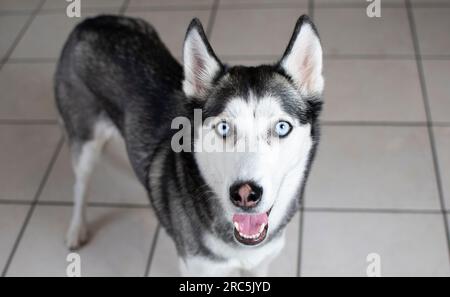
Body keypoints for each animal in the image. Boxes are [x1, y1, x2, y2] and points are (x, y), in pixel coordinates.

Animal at [54, 12, 324, 274]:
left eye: (282, 127)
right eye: (223, 127)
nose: (245, 194)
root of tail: (91, 22)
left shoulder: (261, 264)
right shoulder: (196, 268)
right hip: (85, 142)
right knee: (80, 184)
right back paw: (76, 229)